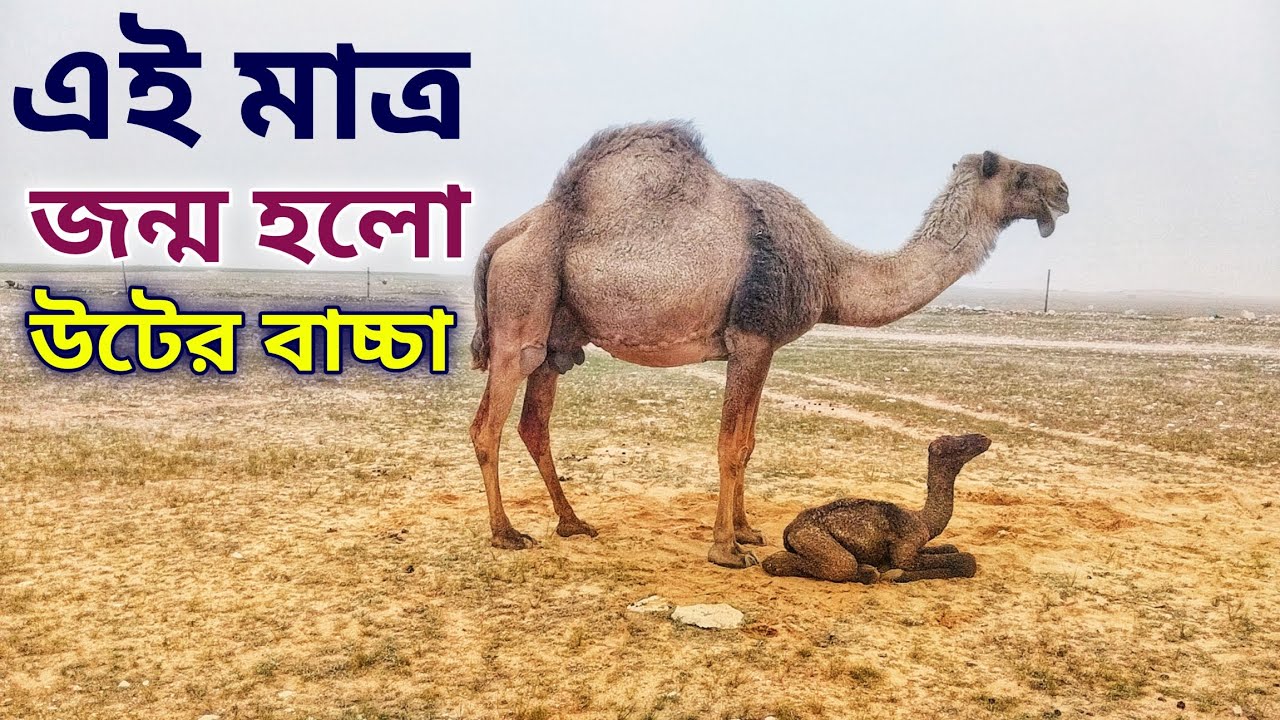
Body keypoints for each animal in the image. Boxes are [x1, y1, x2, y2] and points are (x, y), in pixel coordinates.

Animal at [761, 433, 990, 583]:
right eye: (961, 444)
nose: (984, 439)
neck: (923, 520)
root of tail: (789, 530)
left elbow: (952, 547)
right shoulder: (906, 548)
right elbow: (966, 560)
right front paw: (895, 574)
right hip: (812, 538)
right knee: (842, 565)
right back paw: (868, 570)